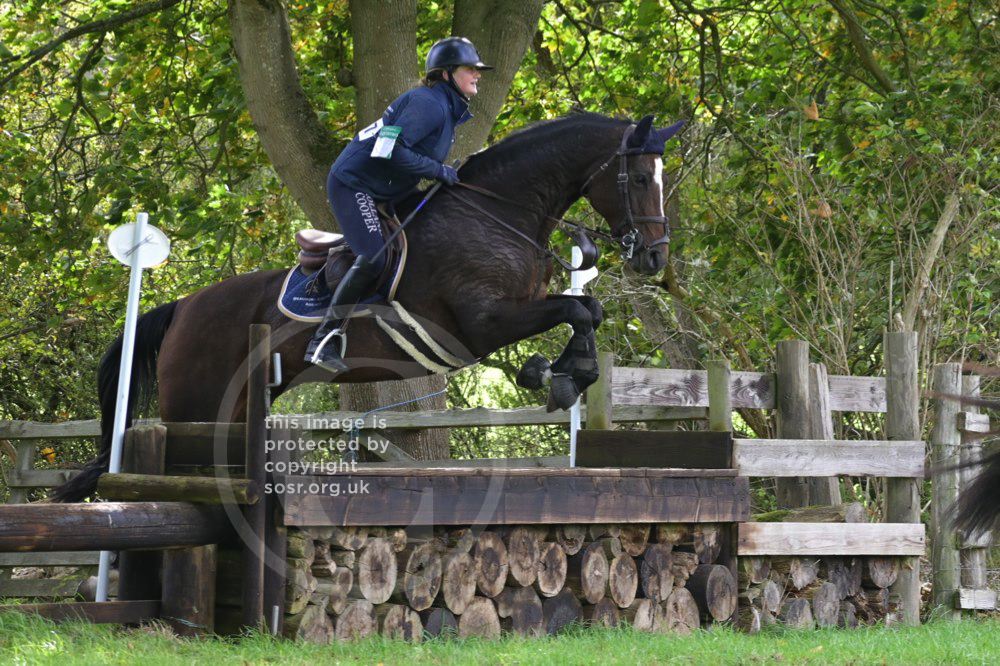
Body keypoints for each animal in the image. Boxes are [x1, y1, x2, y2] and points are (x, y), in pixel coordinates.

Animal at [52, 112, 683, 502]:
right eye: (638, 177)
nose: (654, 255)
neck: (498, 212)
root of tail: (183, 306)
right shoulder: (481, 325)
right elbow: (578, 312)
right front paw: (558, 376)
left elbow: (587, 310)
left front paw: (562, 373)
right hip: (194, 400)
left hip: (235, 407)